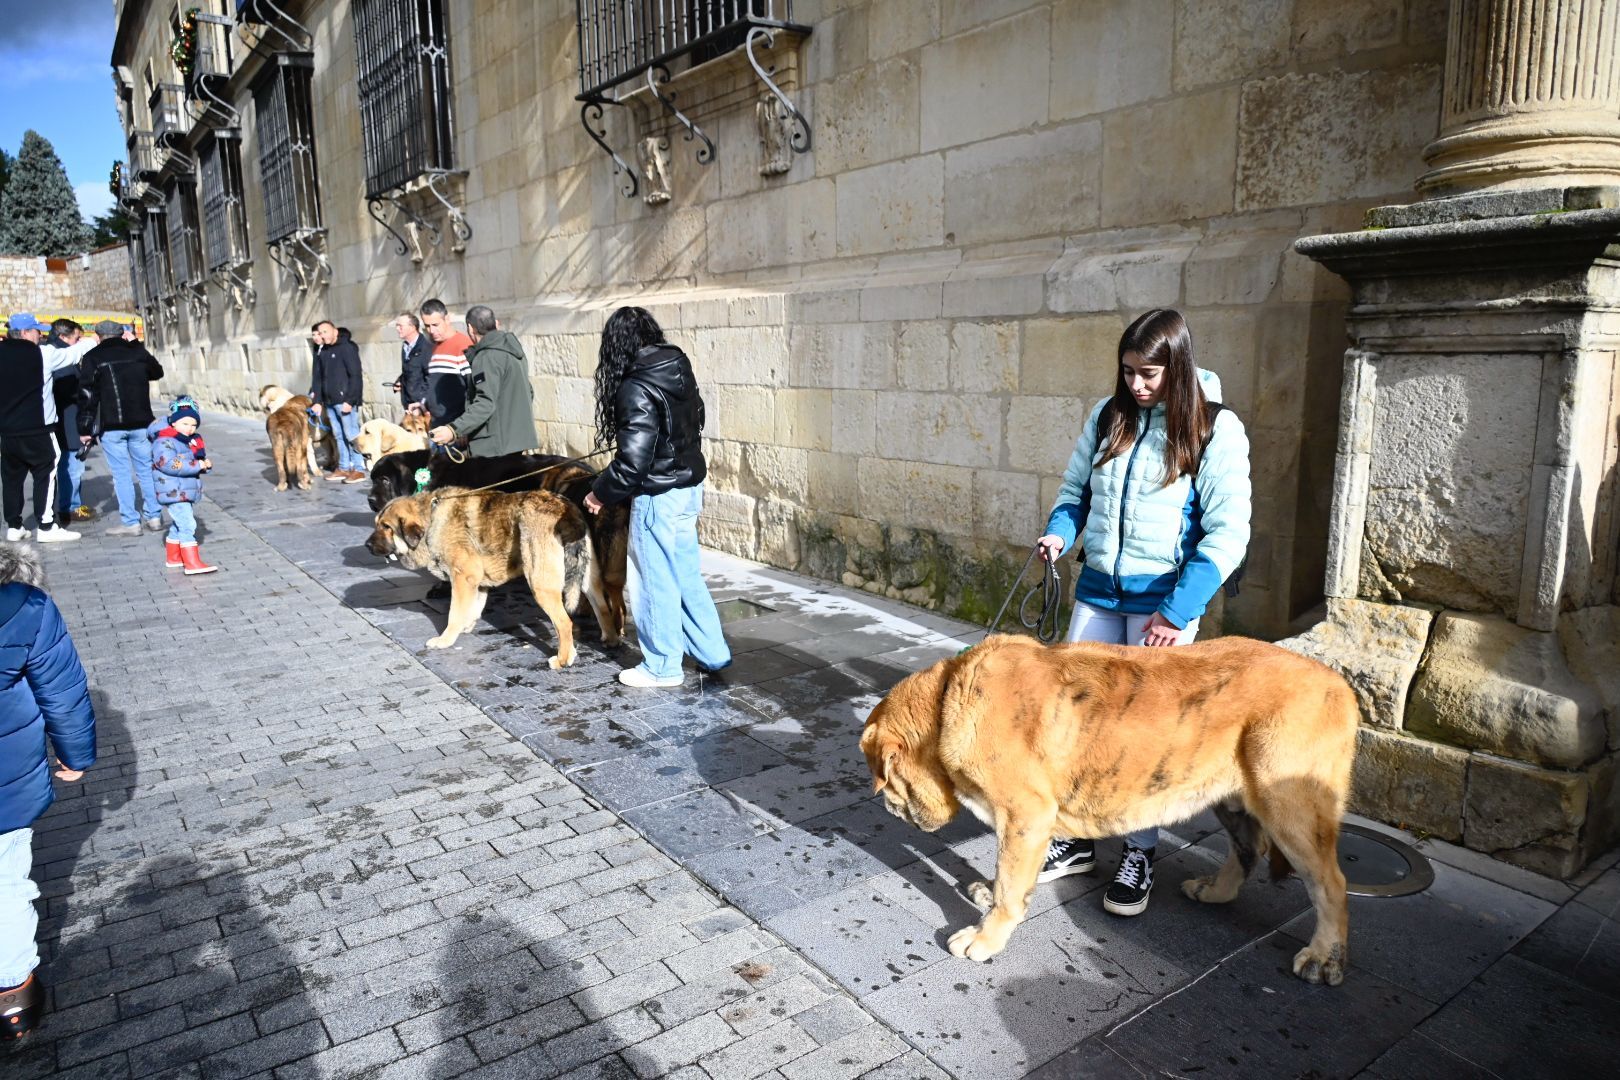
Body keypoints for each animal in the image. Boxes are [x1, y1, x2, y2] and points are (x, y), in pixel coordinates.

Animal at [860, 633, 1358, 985]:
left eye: (882, 775)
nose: (883, 804)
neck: (948, 702)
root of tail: (1342, 686)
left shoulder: (1025, 816)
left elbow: (1010, 888)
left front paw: (985, 936)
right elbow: (1007, 877)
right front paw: (988, 891)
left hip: (1290, 806)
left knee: (1331, 884)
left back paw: (1323, 958)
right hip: (1231, 797)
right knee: (1246, 850)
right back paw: (1215, 891)